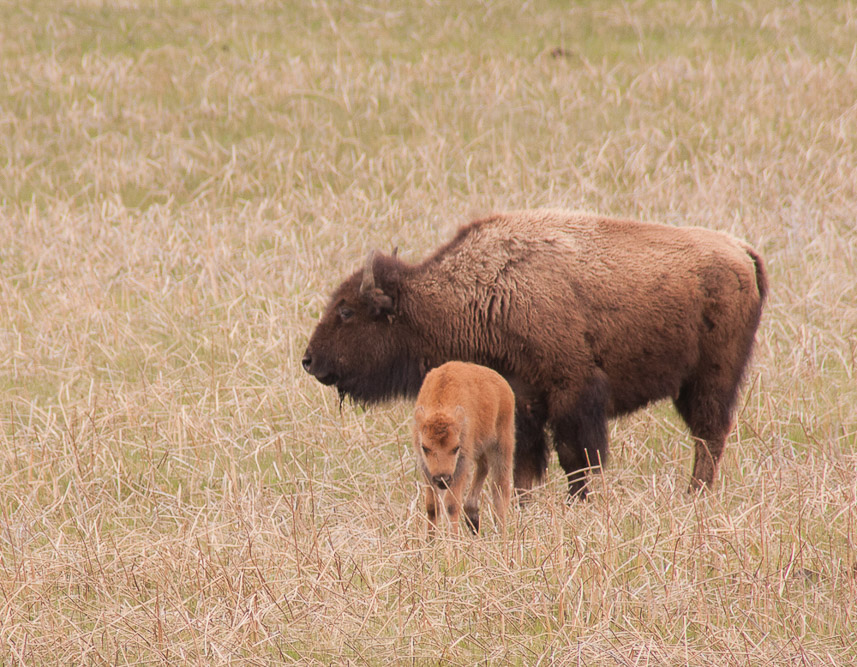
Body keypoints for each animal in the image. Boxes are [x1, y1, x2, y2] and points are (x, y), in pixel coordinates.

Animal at [302, 209, 767, 498]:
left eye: (346, 311)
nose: (309, 360)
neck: (485, 293)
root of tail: (741, 251)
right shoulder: (522, 402)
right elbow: (523, 464)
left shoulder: (572, 394)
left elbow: (577, 459)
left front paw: (580, 503)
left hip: (711, 378)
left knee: (708, 435)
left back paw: (695, 495)